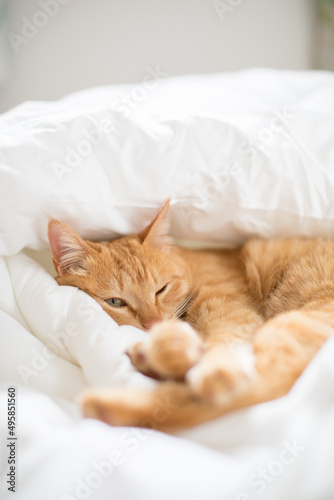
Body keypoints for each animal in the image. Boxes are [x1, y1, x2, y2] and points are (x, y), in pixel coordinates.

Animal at [47, 201, 334, 432]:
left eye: (161, 289)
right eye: (116, 302)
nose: (154, 324)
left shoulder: (232, 312)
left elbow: (224, 343)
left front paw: (213, 367)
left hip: (290, 326)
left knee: (254, 389)